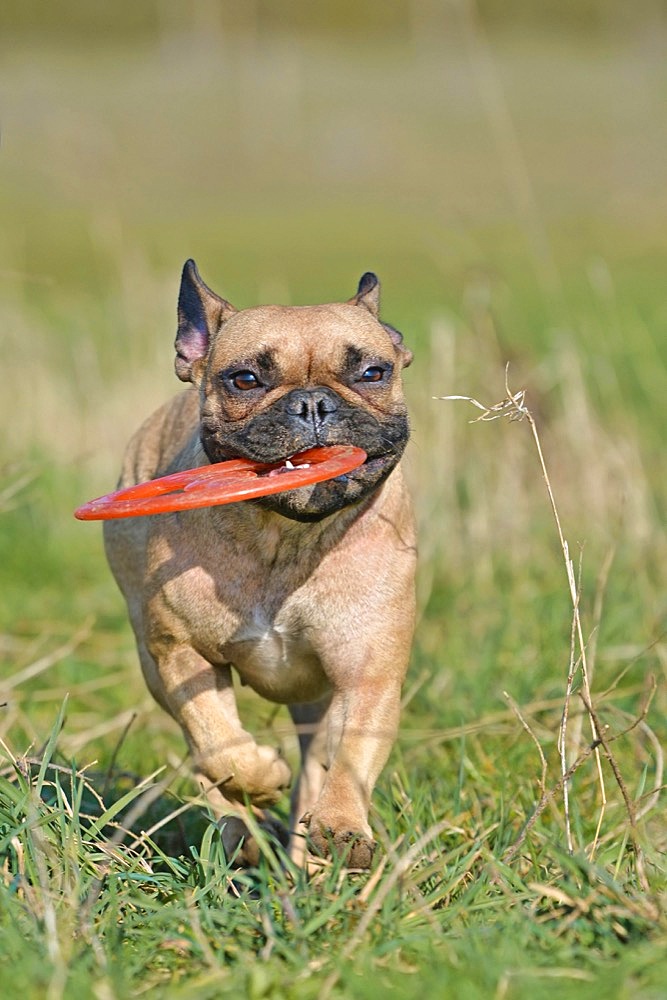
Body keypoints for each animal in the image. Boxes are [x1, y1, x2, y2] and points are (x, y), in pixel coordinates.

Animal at [103, 264, 418, 868]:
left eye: (373, 372)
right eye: (245, 380)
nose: (313, 404)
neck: (285, 536)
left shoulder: (368, 676)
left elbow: (351, 758)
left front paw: (341, 825)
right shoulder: (180, 654)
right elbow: (218, 742)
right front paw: (260, 776)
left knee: (318, 763)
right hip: (153, 664)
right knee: (205, 759)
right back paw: (237, 831)